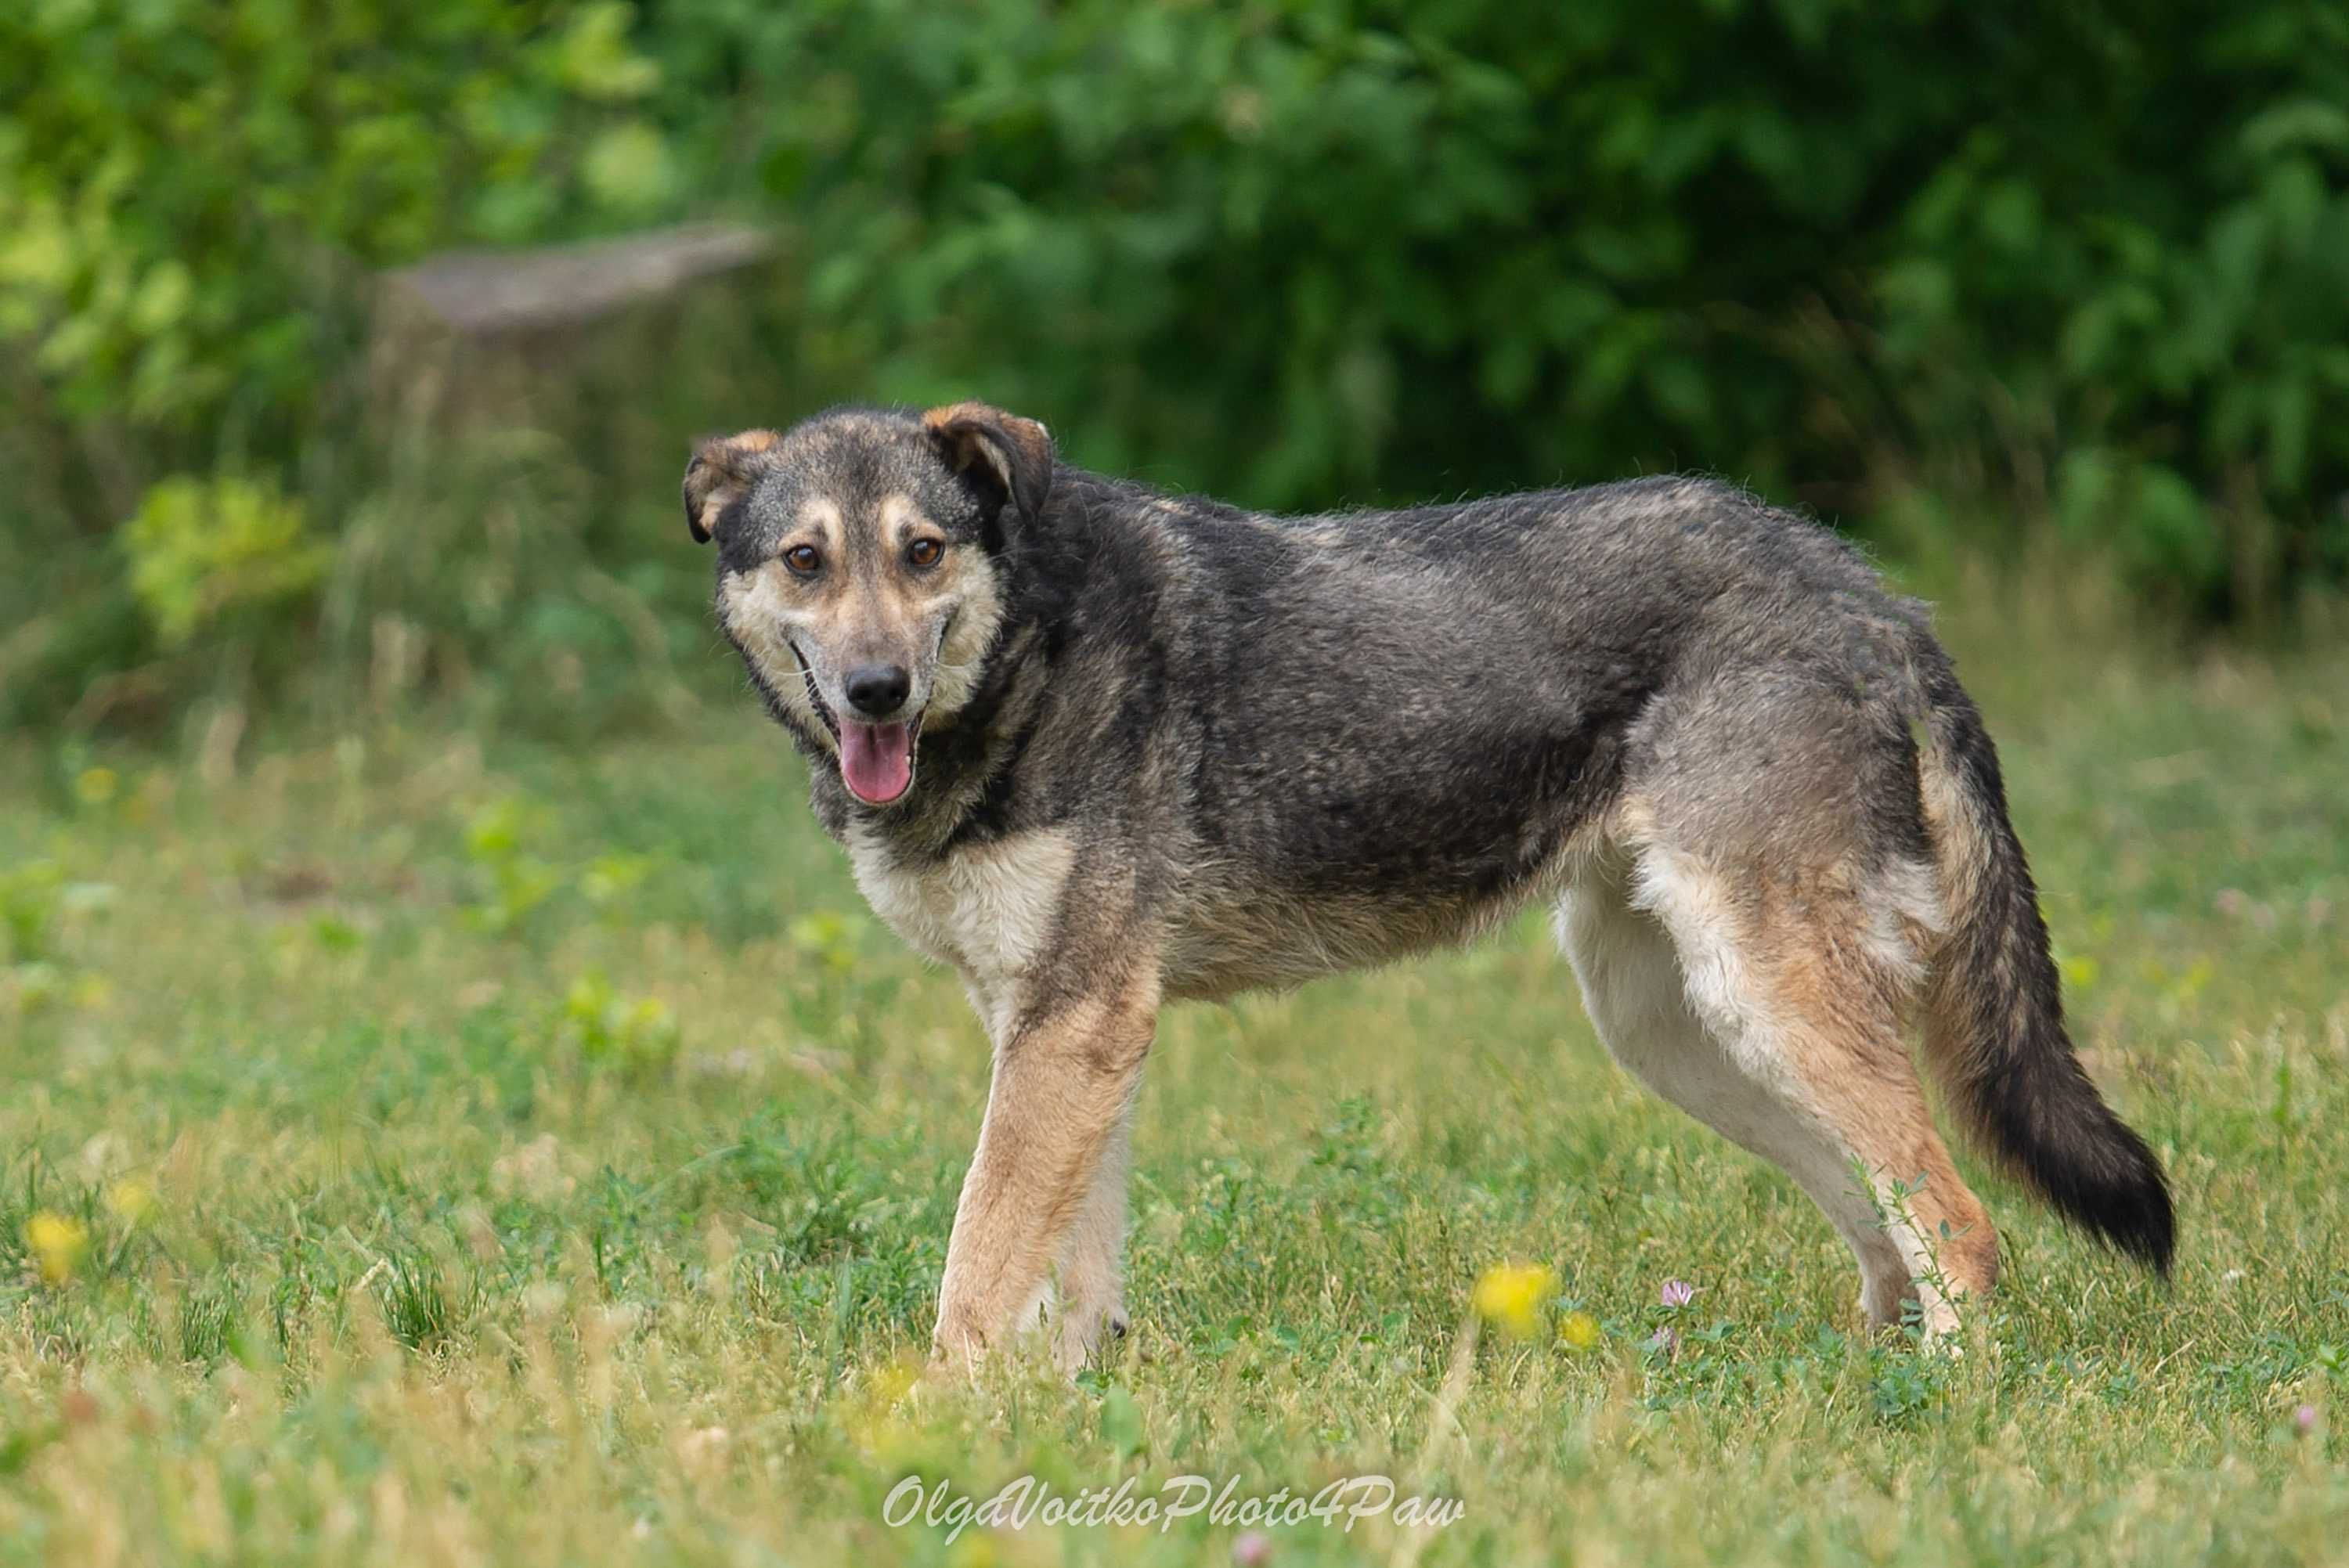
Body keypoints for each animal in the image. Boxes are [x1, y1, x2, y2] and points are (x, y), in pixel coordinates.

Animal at [686, 403, 2170, 1371]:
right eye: (807, 560)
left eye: (922, 551)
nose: (875, 689)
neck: (1031, 657)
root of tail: (1871, 592)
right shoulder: (1066, 1029)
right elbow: (1065, 1284)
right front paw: (1064, 1422)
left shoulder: (1075, 1026)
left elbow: (973, 1274)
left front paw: (926, 1424)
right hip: (1682, 1030)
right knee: (1886, 1229)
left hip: (1762, 1000)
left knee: (1960, 1225)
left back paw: (1937, 1407)